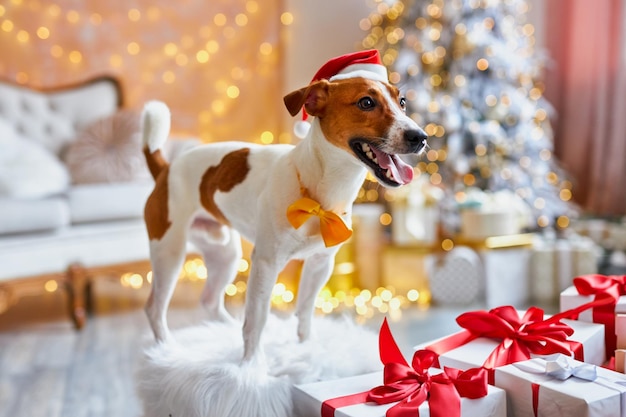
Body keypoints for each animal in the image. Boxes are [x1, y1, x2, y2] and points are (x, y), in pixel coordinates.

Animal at [140, 49, 424, 360]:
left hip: (224, 253)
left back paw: (224, 331)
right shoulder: (266, 263)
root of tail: (166, 168)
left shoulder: (320, 264)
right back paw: (167, 347)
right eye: (366, 102)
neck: (319, 190)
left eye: (402, 102)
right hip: (169, 252)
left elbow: (305, 311)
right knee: (154, 308)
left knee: (210, 300)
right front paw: (251, 364)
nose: (420, 137)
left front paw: (305, 347)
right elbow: (256, 320)